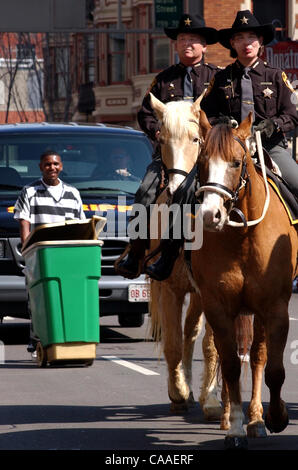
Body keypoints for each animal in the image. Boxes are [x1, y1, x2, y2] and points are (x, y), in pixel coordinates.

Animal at [193, 114, 298, 448]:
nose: (210, 215)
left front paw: (275, 417)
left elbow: (273, 368)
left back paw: (257, 419)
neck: (240, 236)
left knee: (257, 357)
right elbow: (229, 366)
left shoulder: (275, 307)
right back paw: (230, 415)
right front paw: (236, 427)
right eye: (201, 161)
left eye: (236, 162)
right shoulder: (218, 307)